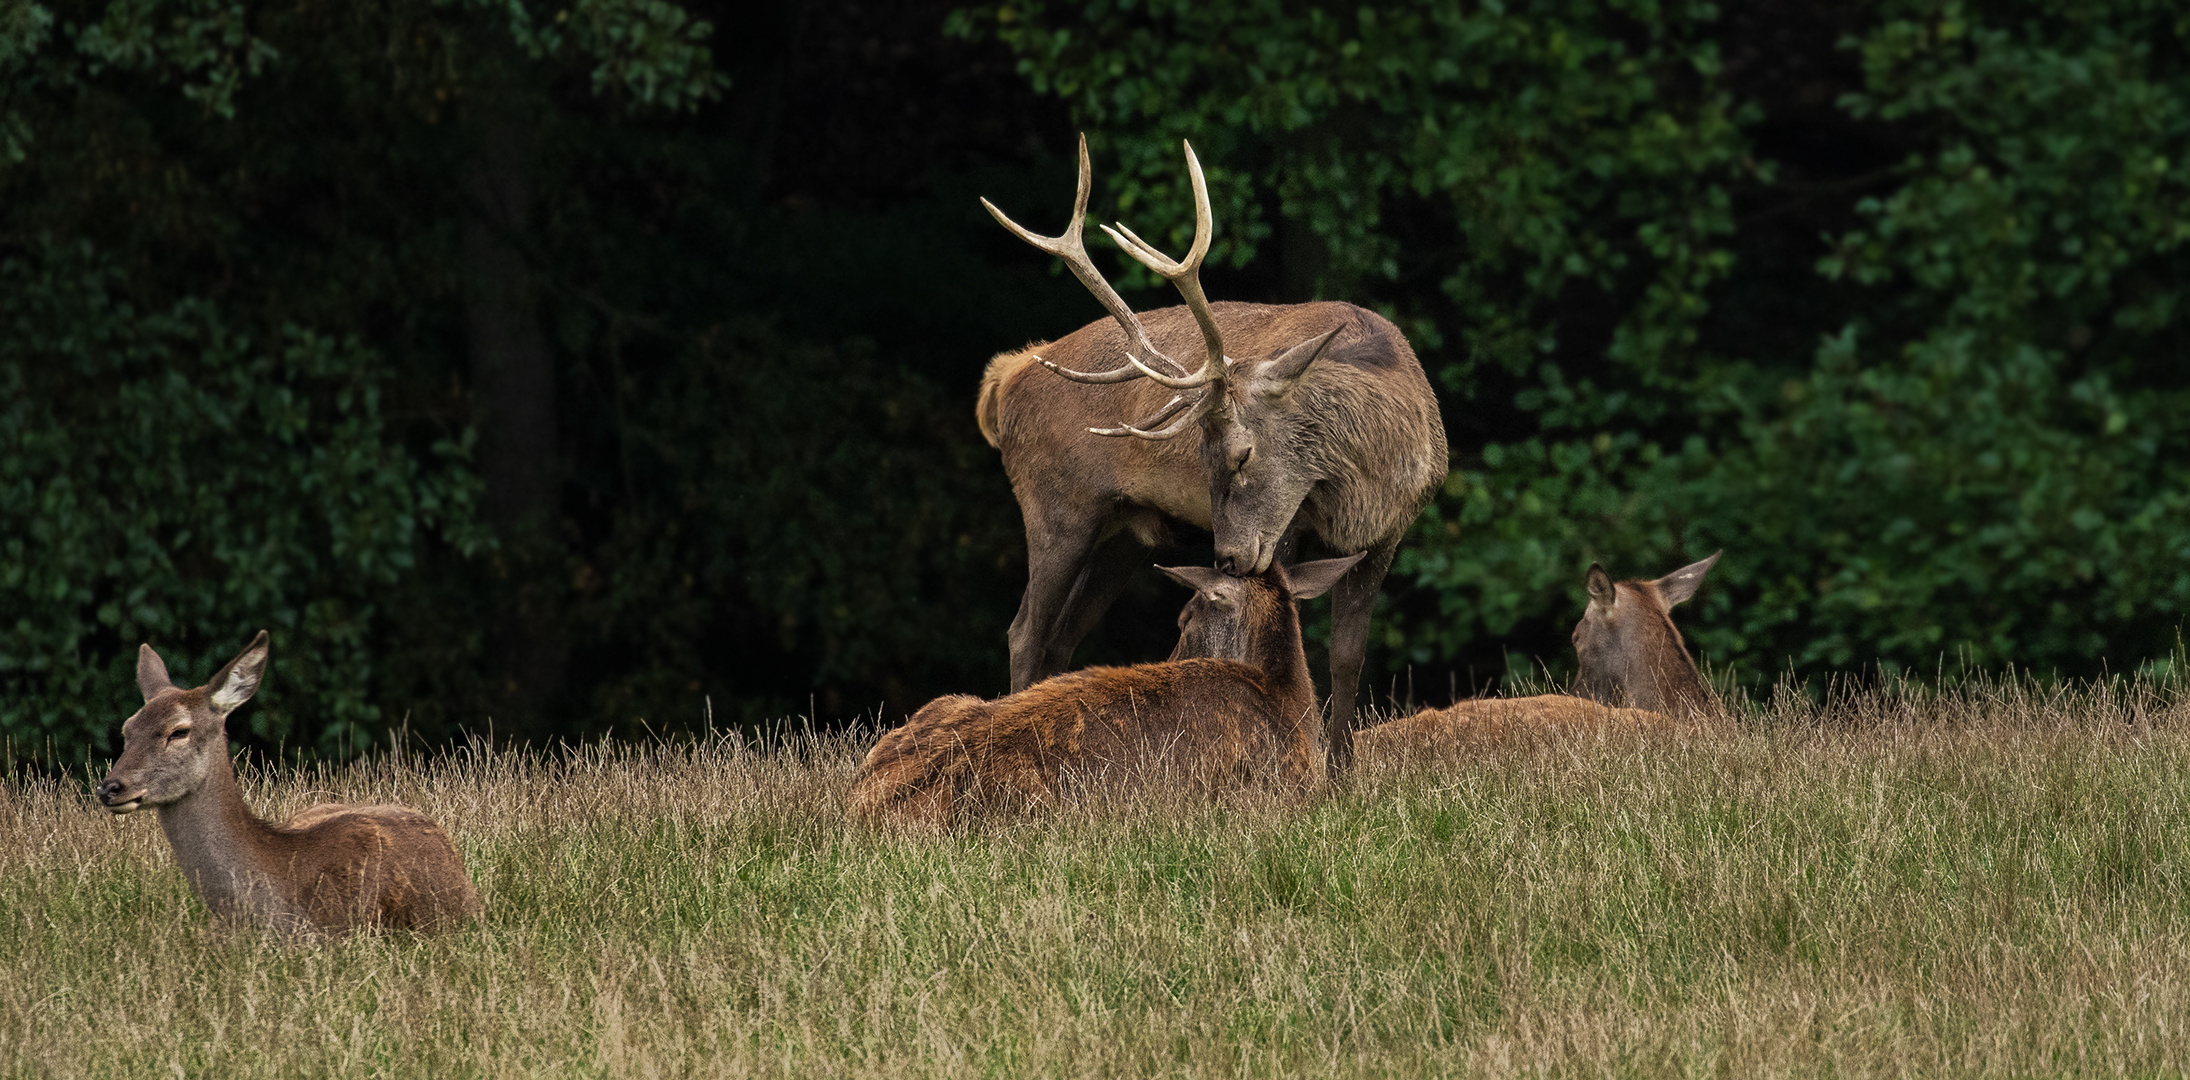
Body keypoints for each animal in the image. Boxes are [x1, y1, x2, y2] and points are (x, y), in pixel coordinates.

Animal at [985, 136, 1445, 775]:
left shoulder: (1389, 534)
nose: (1226, 557)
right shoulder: (1289, 528)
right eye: (1199, 459)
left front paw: (1343, 774)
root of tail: (1005, 379)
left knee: (1060, 633)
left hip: (1127, 532)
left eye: (1243, 454)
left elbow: (1349, 657)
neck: (1368, 484)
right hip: (1057, 504)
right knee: (1025, 630)